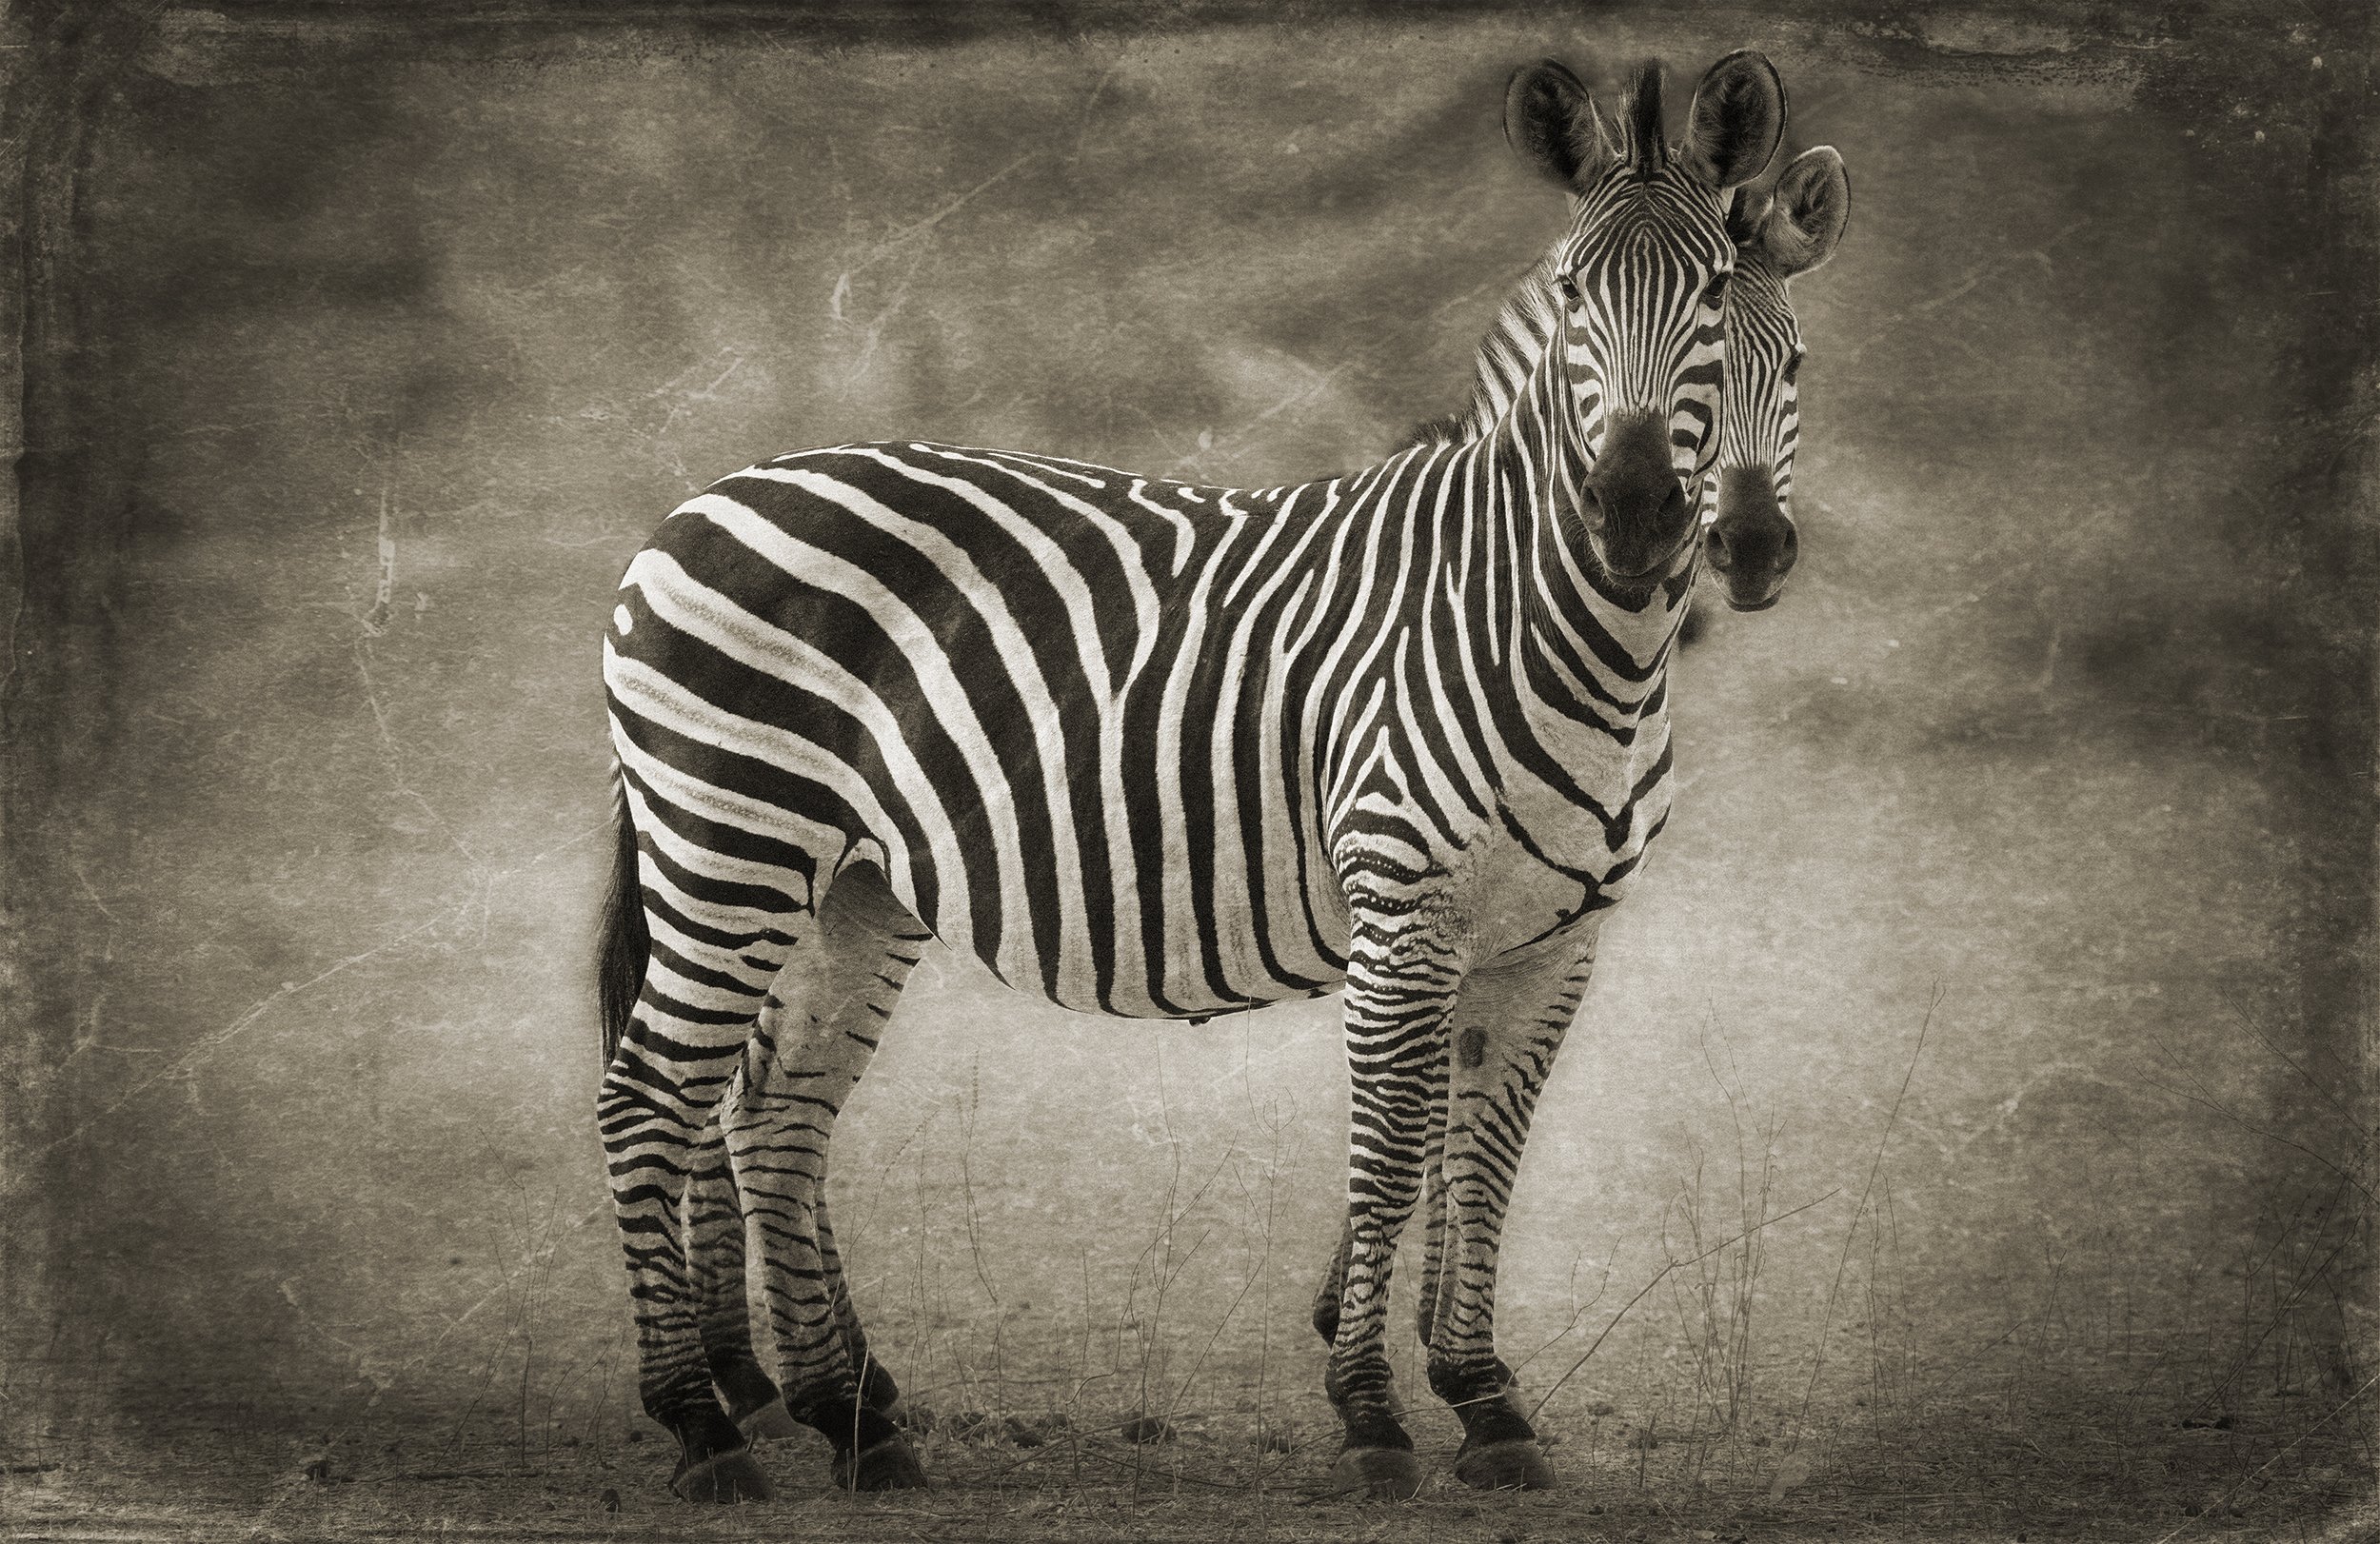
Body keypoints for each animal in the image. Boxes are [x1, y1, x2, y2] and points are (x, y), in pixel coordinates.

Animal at [599, 51, 1814, 1503]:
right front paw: (1370, 1411)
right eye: (1575, 293)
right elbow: (1393, 1146)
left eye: (1726, 306)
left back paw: (850, 1417)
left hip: (848, 883)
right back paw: (705, 1421)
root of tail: (710, 491)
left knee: (770, 1113)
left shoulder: (1552, 940)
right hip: (729, 838)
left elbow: (1483, 1156)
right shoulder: (1404, 910)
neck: (1550, 628)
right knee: (649, 1097)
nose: (1641, 518)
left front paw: (1485, 1400)